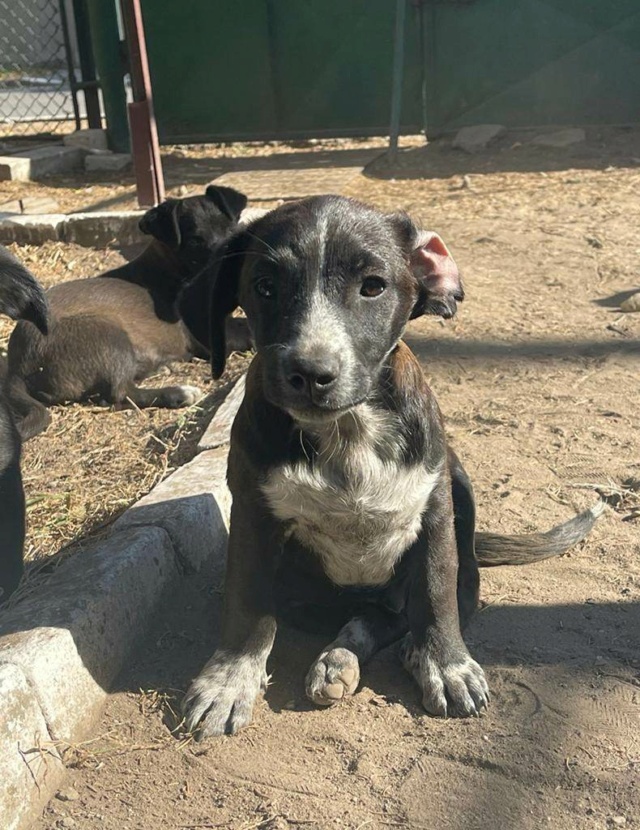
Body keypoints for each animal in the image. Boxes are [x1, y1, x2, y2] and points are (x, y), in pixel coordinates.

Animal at [7, 184, 254, 442]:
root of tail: (16, 366)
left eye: (232, 229)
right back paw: (177, 393)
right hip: (109, 332)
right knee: (120, 393)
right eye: (195, 240)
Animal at [176, 197, 604, 740]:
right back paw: (339, 660)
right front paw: (228, 680)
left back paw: (371, 657)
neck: (349, 429)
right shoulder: (253, 514)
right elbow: (248, 603)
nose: (310, 374)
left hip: (461, 493)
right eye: (265, 286)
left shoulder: (436, 509)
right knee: (365, 615)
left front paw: (447, 664)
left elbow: (435, 593)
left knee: (405, 612)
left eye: (373, 286)